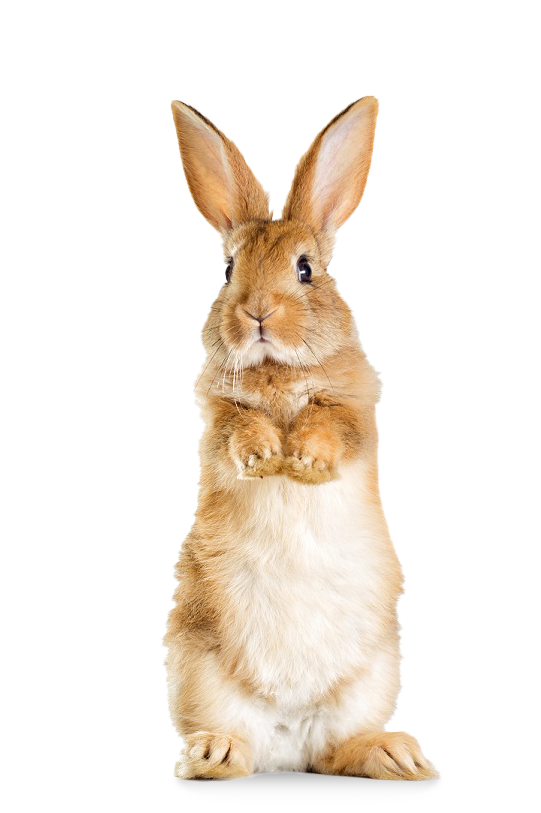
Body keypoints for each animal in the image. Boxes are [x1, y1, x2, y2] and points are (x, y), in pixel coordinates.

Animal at [165, 97, 441, 783]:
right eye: (228, 270)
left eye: (306, 269)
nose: (257, 312)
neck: (278, 370)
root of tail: (288, 739)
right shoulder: (218, 415)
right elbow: (238, 433)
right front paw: (267, 458)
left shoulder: (356, 411)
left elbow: (330, 427)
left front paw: (304, 462)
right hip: (197, 667)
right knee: (239, 744)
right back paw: (213, 754)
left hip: (372, 680)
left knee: (338, 750)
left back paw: (398, 756)